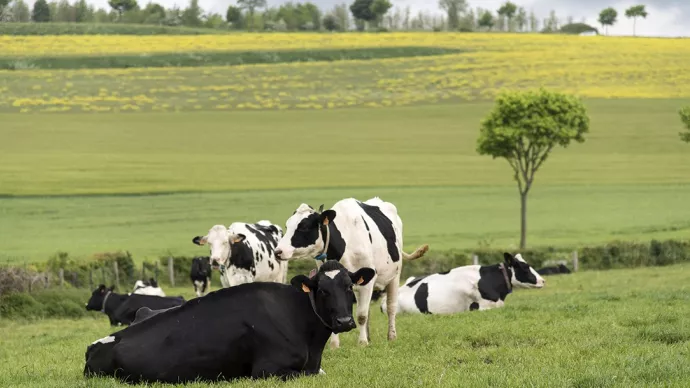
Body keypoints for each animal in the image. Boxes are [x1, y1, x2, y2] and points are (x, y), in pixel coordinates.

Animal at [272, 197, 424, 348]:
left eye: (304, 227)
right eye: (287, 226)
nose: (278, 251)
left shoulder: (366, 282)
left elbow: (362, 315)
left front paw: (362, 343)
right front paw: (335, 345)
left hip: (394, 277)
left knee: (391, 308)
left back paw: (391, 336)